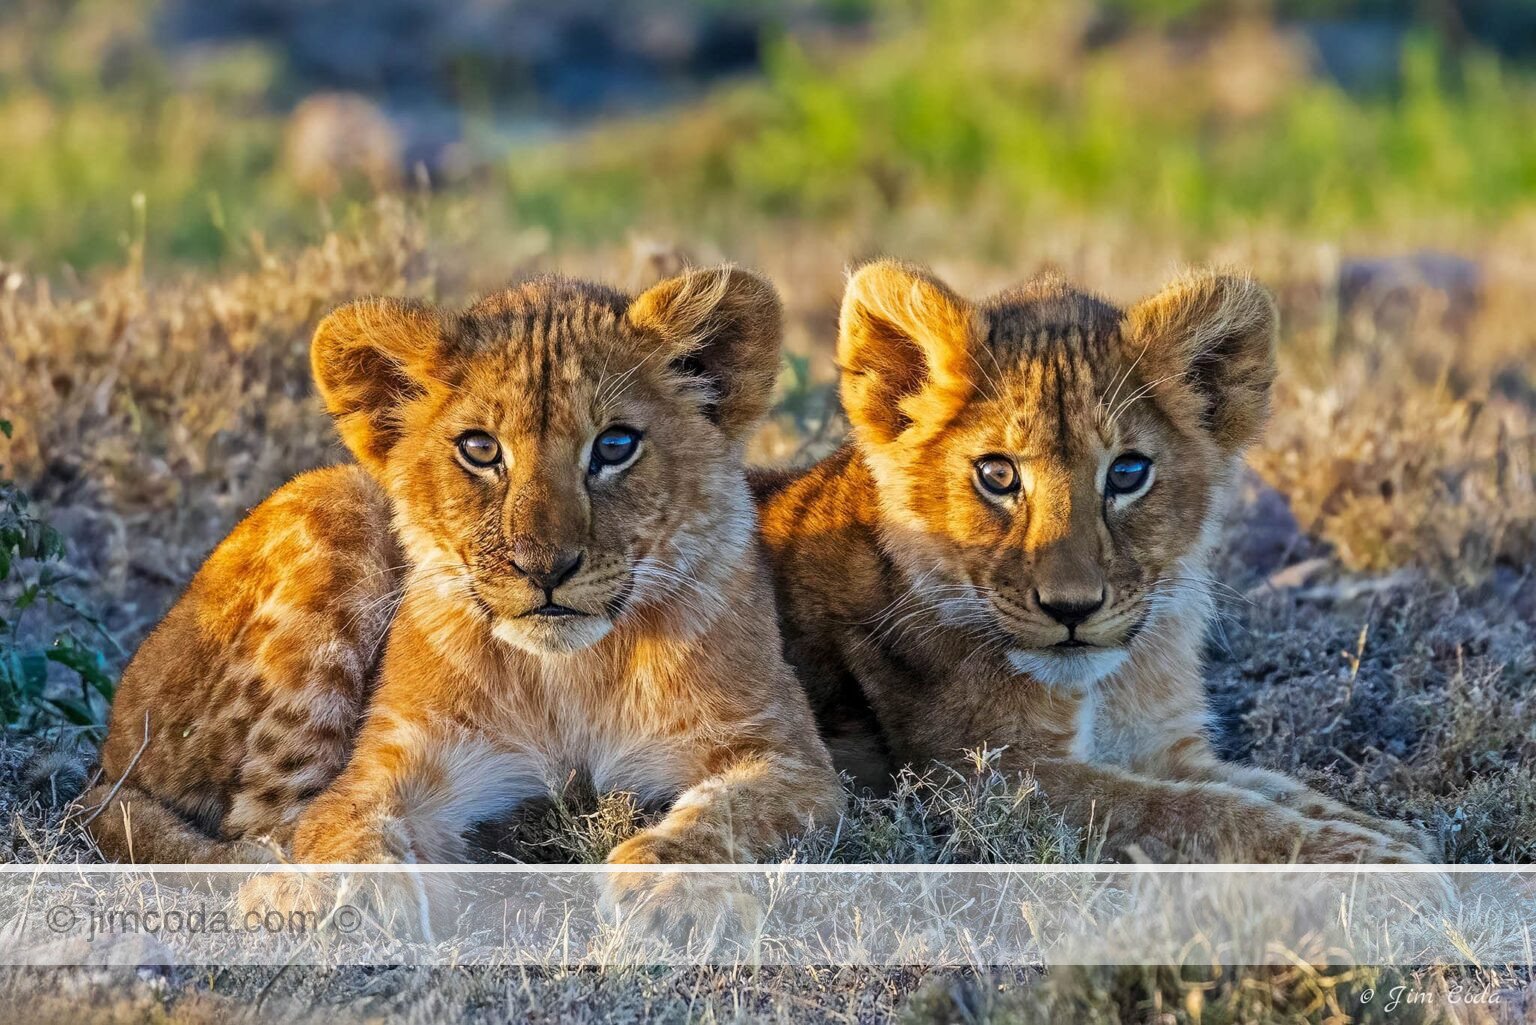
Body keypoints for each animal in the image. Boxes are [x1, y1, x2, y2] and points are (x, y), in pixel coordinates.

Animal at [81, 268, 842, 889]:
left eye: (616, 445)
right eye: (480, 449)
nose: (544, 569)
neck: (570, 678)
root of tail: (113, 740)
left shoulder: (788, 756)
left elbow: (722, 817)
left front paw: (657, 890)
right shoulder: (396, 760)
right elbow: (346, 827)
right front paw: (353, 899)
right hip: (337, 497)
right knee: (261, 825)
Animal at [750, 260, 1432, 863]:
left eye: (1128, 473)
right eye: (997, 474)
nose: (1071, 609)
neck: (1106, 687)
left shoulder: (1162, 745)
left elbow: (1275, 788)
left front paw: (1393, 833)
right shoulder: (984, 779)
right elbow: (1190, 810)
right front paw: (1379, 865)